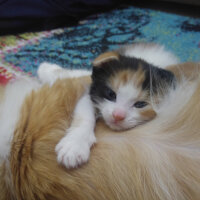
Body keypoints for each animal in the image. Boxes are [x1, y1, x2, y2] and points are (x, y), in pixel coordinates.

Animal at [37, 42, 178, 169]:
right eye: (111, 94)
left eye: (140, 104)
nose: (118, 115)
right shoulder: (92, 91)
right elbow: (84, 113)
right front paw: (75, 144)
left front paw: (74, 147)